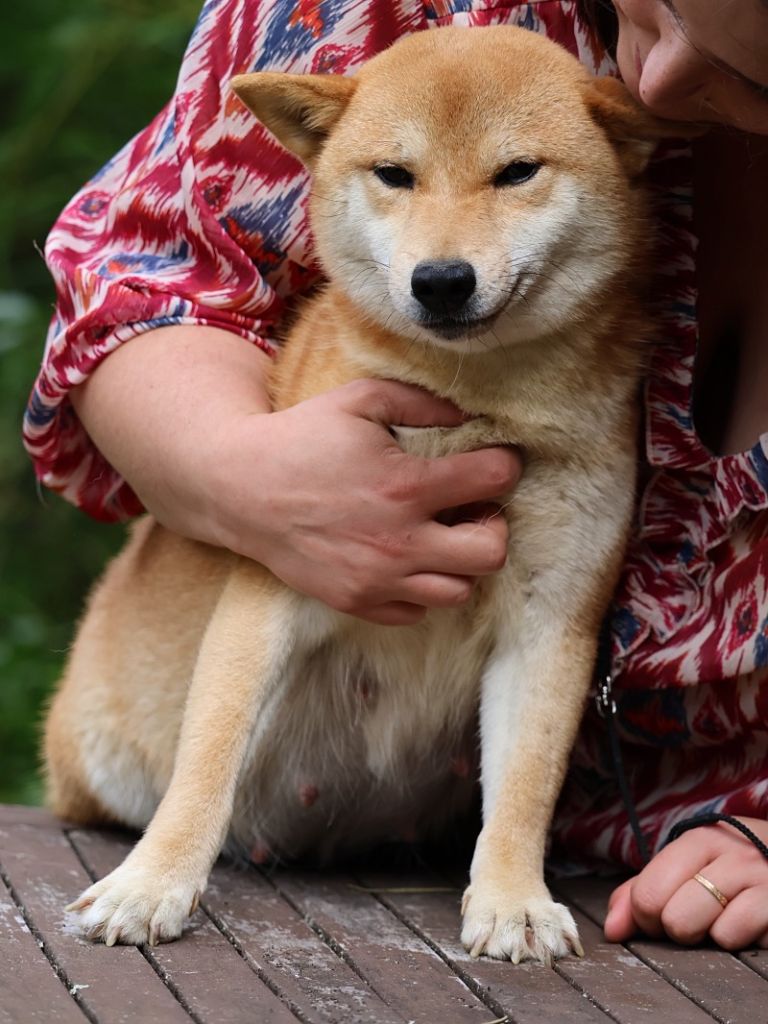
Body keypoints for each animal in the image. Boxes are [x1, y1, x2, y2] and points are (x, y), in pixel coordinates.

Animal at [49, 25, 671, 966]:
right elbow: (206, 761)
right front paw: (150, 885)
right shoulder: (274, 585)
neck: (478, 407)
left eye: (517, 171)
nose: (442, 280)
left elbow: (525, 787)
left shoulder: (552, 621)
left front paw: (514, 901)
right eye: (394, 174)